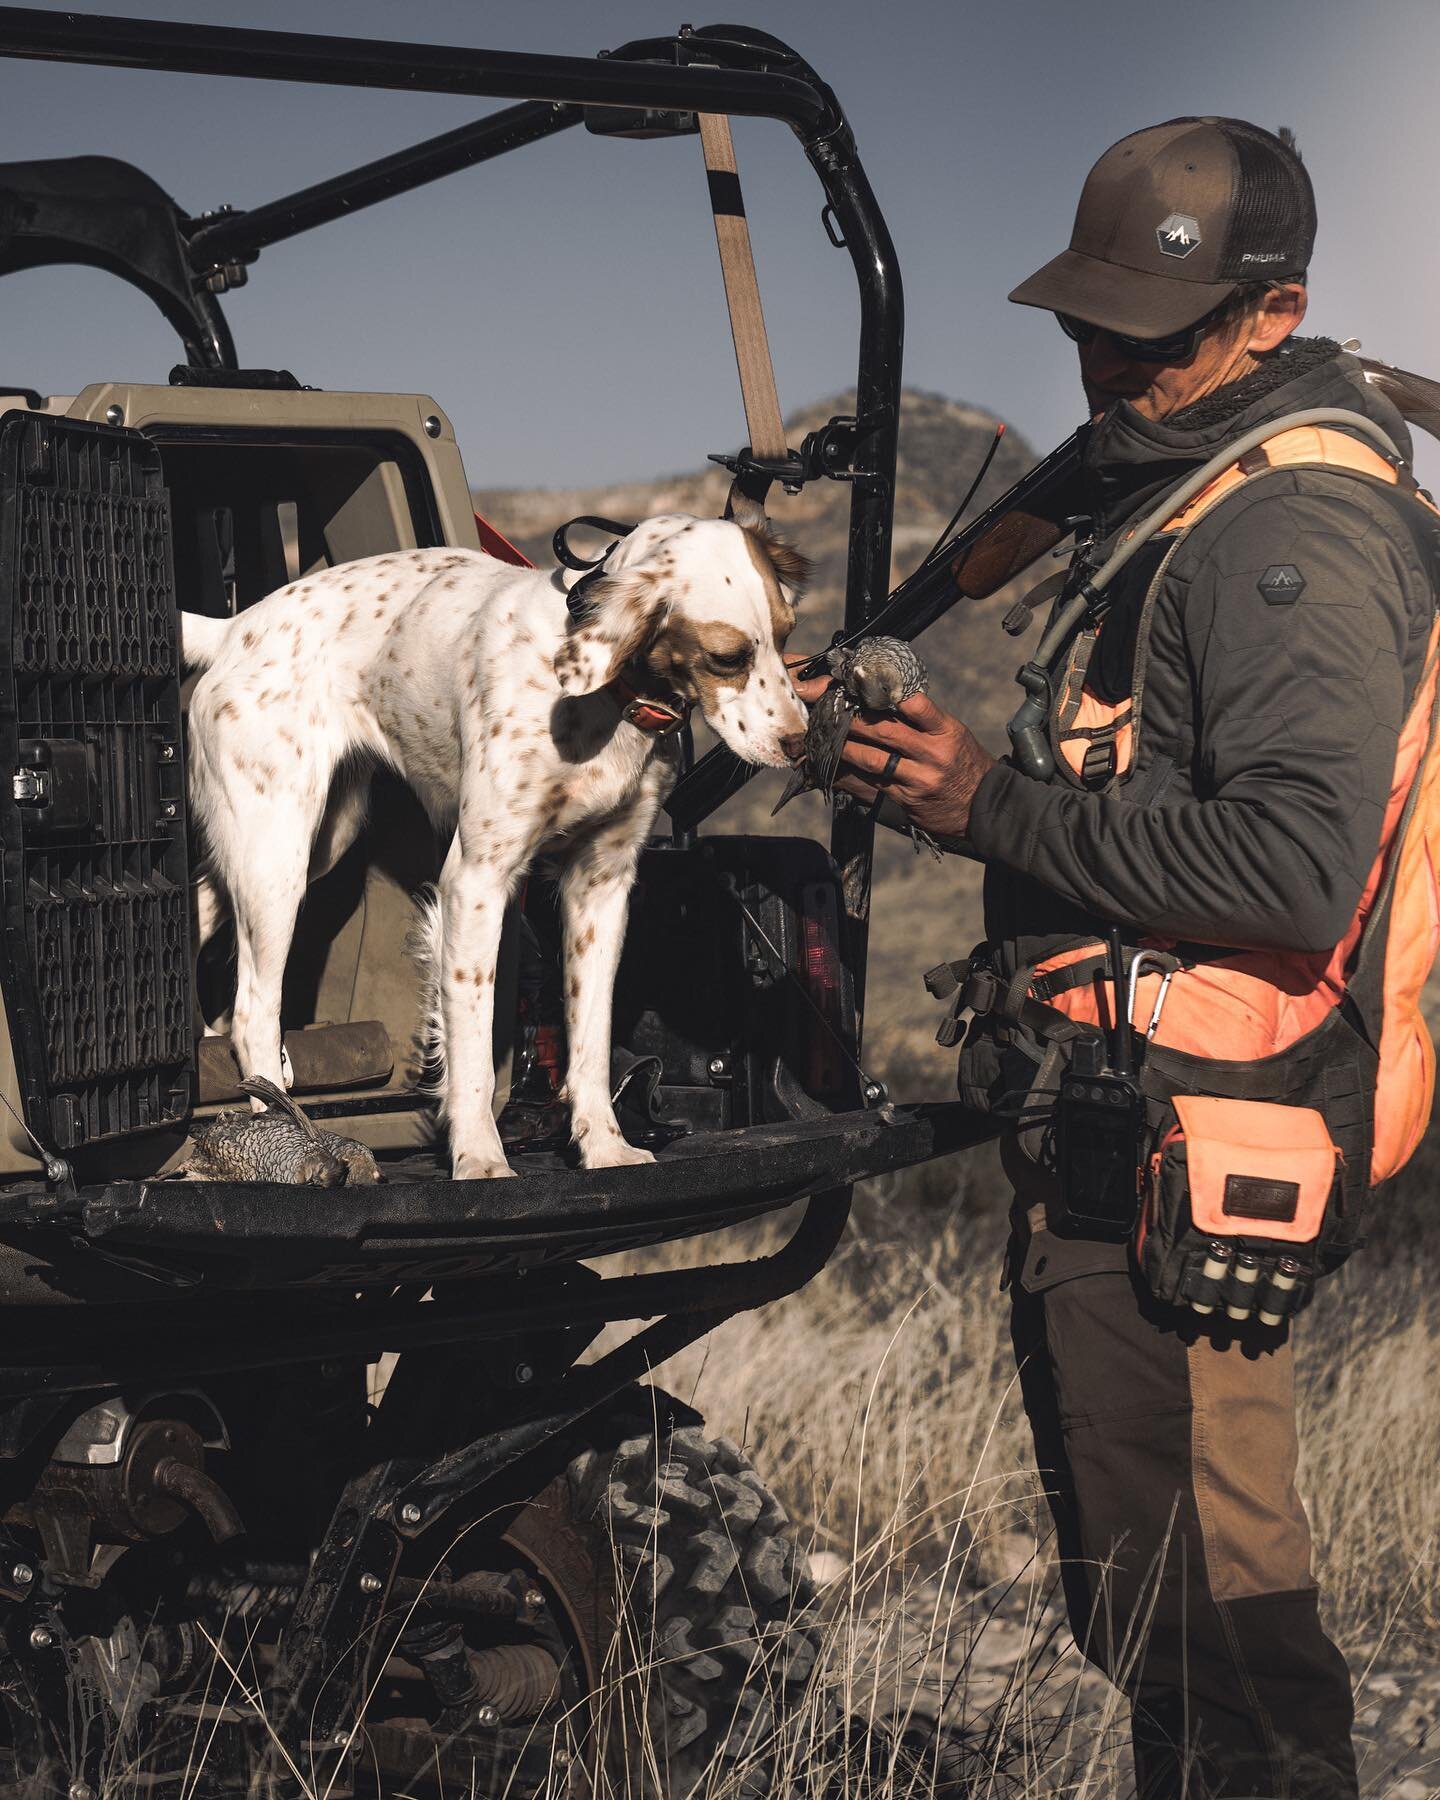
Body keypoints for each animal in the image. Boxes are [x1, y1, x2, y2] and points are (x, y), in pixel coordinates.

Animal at [181, 507, 810, 1180]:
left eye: (786, 635)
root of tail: (235, 628)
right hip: (277, 858)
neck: (596, 697)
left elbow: (590, 1043)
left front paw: (604, 1147)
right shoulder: (477, 877)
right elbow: (474, 1052)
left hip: (309, 843)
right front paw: (479, 1156)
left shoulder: (601, 886)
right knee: (252, 1012)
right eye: (727, 658)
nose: (801, 742)